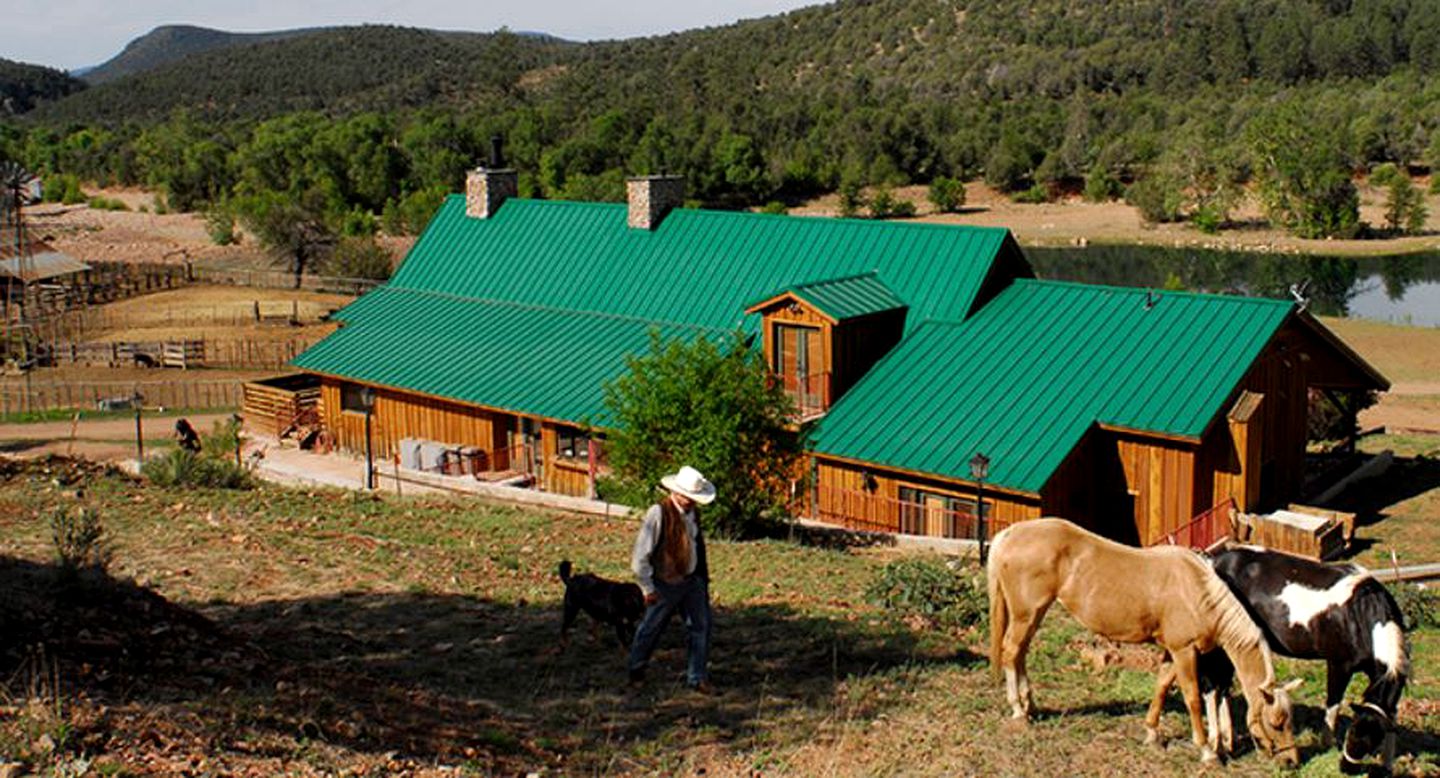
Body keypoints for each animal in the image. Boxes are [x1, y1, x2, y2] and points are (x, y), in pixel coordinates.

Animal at [984, 518, 1301, 760]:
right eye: (1276, 722)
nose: (1291, 762)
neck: (1196, 592)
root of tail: (1009, 534)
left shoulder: (1173, 651)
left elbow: (1161, 687)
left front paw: (1152, 733)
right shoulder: (1184, 651)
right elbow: (1192, 698)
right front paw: (1207, 751)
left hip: (1033, 614)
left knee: (1020, 653)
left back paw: (1030, 705)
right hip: (1026, 614)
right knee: (1011, 652)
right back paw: (1018, 710)